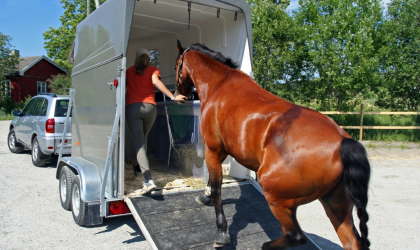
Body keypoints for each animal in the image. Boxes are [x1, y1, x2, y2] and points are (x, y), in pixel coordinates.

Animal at [172, 40, 370, 249]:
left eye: (176, 65)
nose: (178, 95)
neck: (219, 85)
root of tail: (344, 142)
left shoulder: (213, 149)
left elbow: (217, 188)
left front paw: (222, 231)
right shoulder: (223, 150)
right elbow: (211, 181)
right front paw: (205, 196)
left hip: (277, 197)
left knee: (295, 236)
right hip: (336, 206)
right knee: (352, 242)